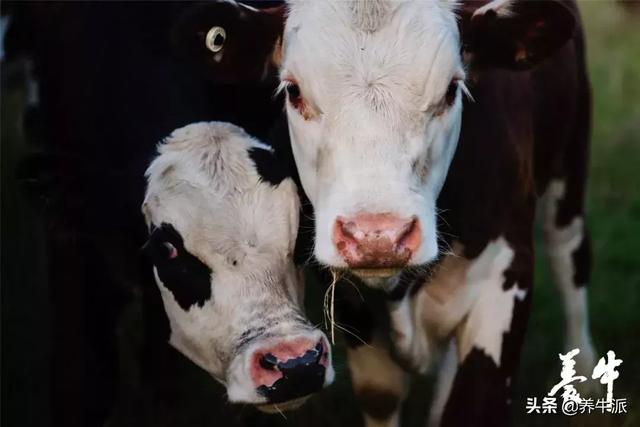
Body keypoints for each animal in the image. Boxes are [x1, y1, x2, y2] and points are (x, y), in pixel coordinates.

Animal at [172, 0, 596, 427]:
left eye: (451, 90)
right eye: (293, 91)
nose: (377, 237)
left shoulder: (506, 275)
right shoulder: (352, 306)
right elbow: (382, 394)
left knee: (569, 254)